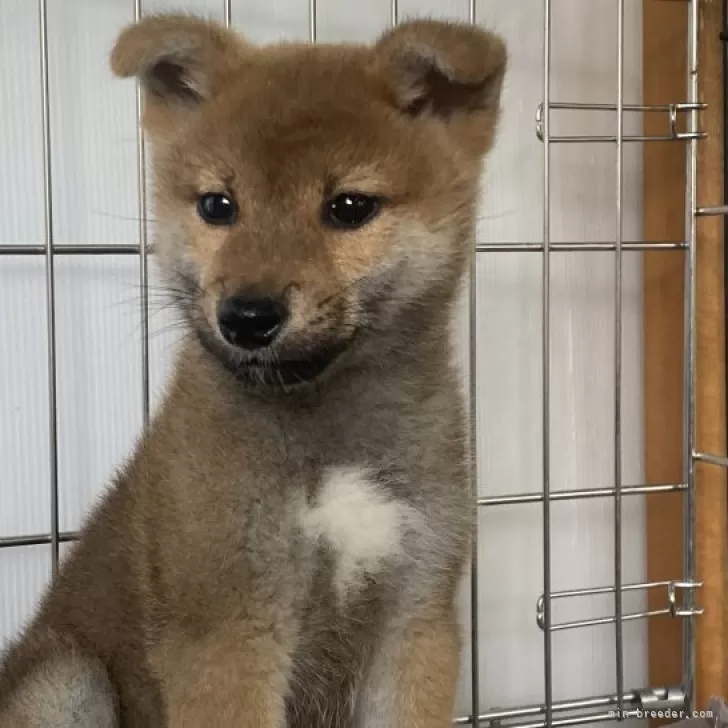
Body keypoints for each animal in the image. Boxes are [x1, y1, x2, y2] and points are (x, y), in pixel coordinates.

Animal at [0, 12, 510, 728]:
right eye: (218, 206)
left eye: (348, 207)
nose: (245, 315)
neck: (328, 437)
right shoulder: (229, 628)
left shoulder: (415, 619)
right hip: (67, 679)